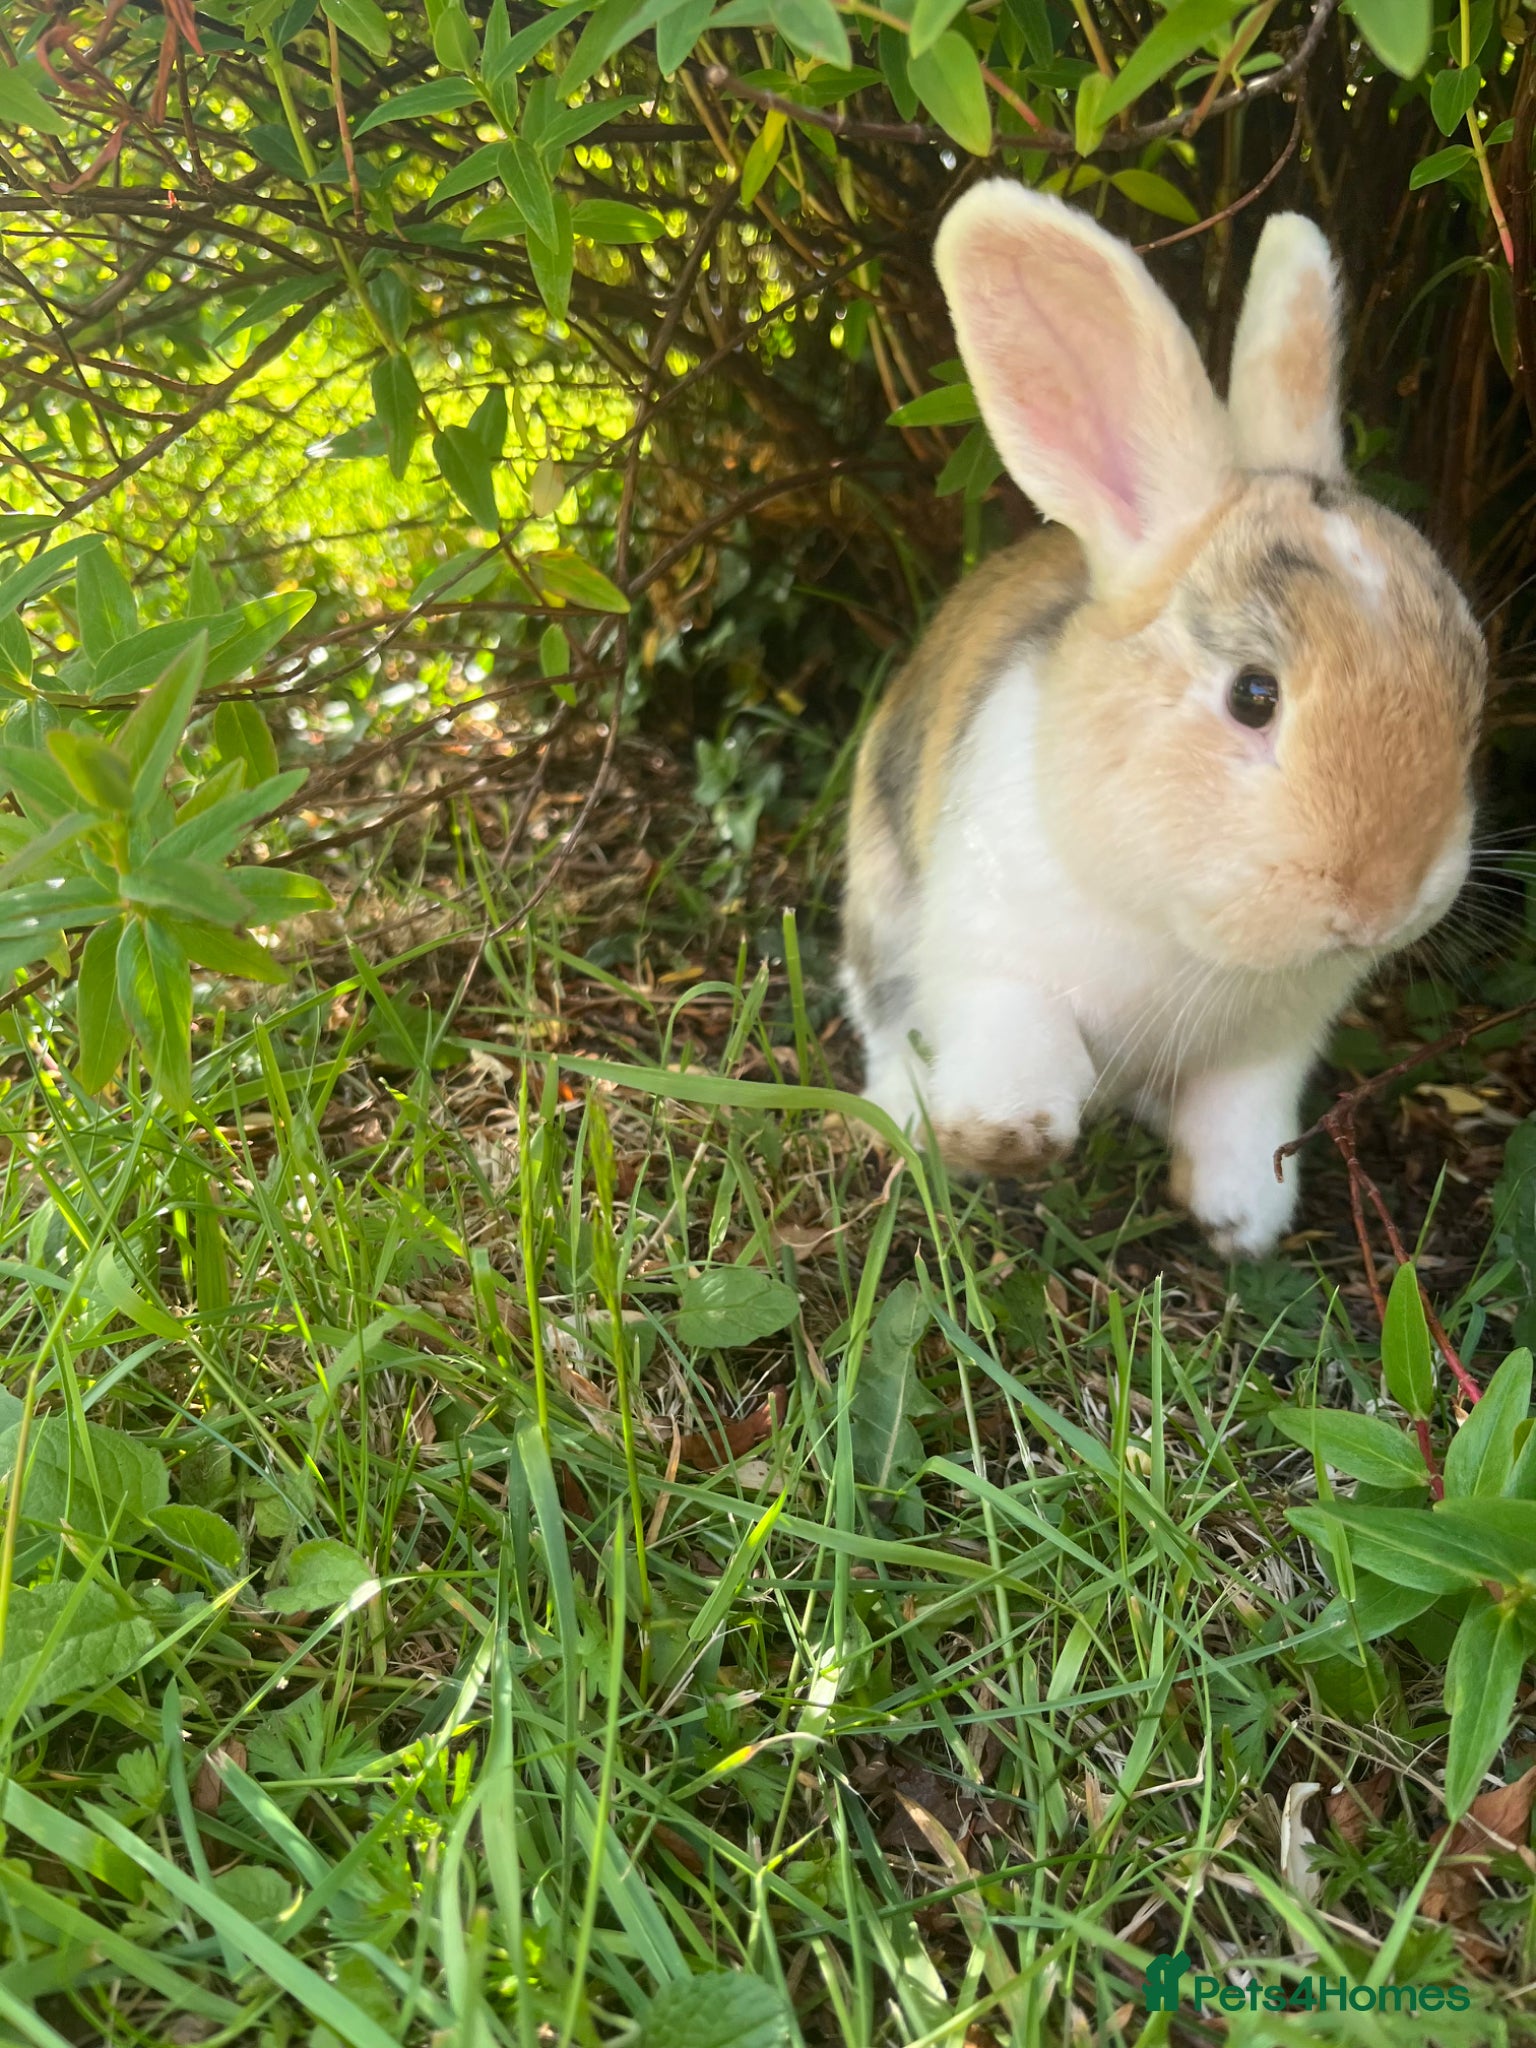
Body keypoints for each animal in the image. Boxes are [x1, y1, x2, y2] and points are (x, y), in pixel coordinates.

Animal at [842, 183, 1485, 1256]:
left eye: (1469, 687)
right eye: (1253, 695)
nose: (1379, 901)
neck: (1181, 937)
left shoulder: (1270, 1050)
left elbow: (1241, 1121)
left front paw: (1242, 1218)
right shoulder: (990, 962)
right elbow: (1022, 1042)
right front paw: (1004, 1138)